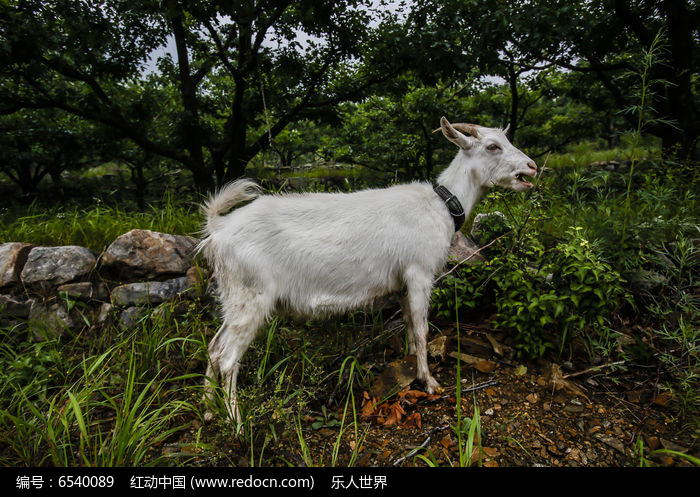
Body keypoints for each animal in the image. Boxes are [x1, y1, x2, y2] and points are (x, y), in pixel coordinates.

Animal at [200, 116, 540, 422]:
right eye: (493, 146)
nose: (532, 167)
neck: (442, 205)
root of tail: (218, 228)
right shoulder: (419, 272)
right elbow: (422, 328)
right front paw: (428, 382)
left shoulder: (402, 283)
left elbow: (409, 325)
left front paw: (409, 366)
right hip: (252, 295)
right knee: (228, 359)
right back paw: (236, 423)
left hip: (233, 297)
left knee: (214, 347)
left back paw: (207, 410)